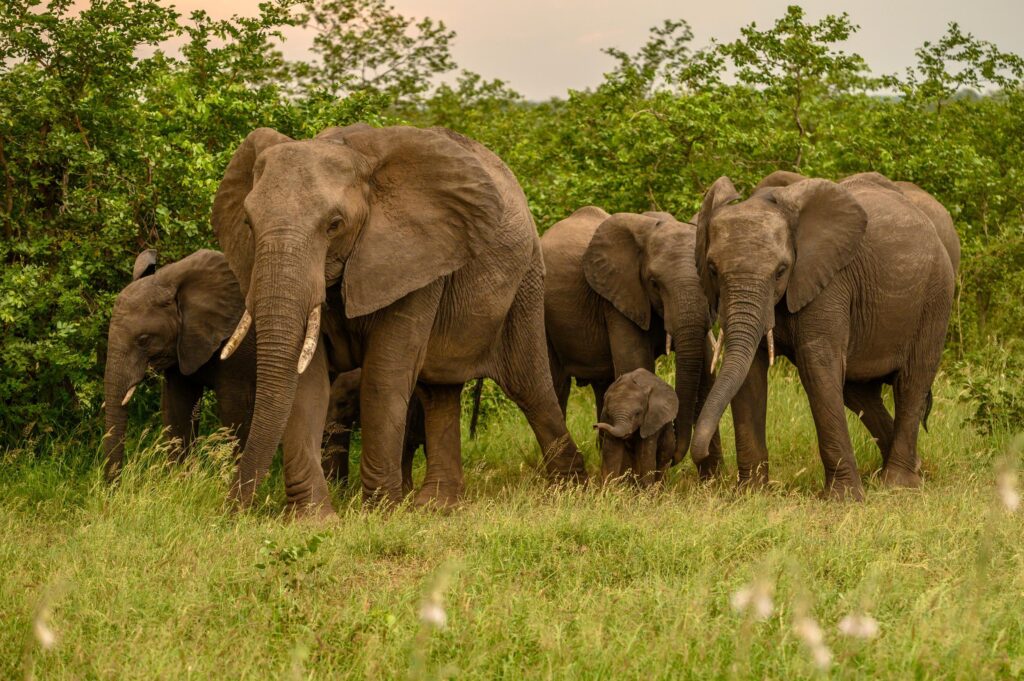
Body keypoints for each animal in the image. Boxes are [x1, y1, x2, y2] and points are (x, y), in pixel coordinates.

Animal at [102, 249, 255, 481]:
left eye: (143, 340)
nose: (114, 487)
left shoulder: (239, 350)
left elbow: (235, 412)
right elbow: (177, 407)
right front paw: (179, 482)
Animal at [541, 207, 722, 478]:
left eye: (709, 275)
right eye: (654, 283)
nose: (672, 458)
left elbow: (707, 377)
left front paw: (715, 481)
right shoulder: (620, 298)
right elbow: (635, 362)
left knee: (603, 386)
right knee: (558, 385)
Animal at [689, 171, 957, 500]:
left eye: (781, 270)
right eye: (712, 269)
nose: (700, 454)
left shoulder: (829, 283)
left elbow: (816, 365)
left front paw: (843, 499)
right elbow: (749, 374)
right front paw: (751, 495)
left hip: (936, 295)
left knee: (911, 382)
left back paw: (898, 484)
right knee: (857, 392)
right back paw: (909, 470)